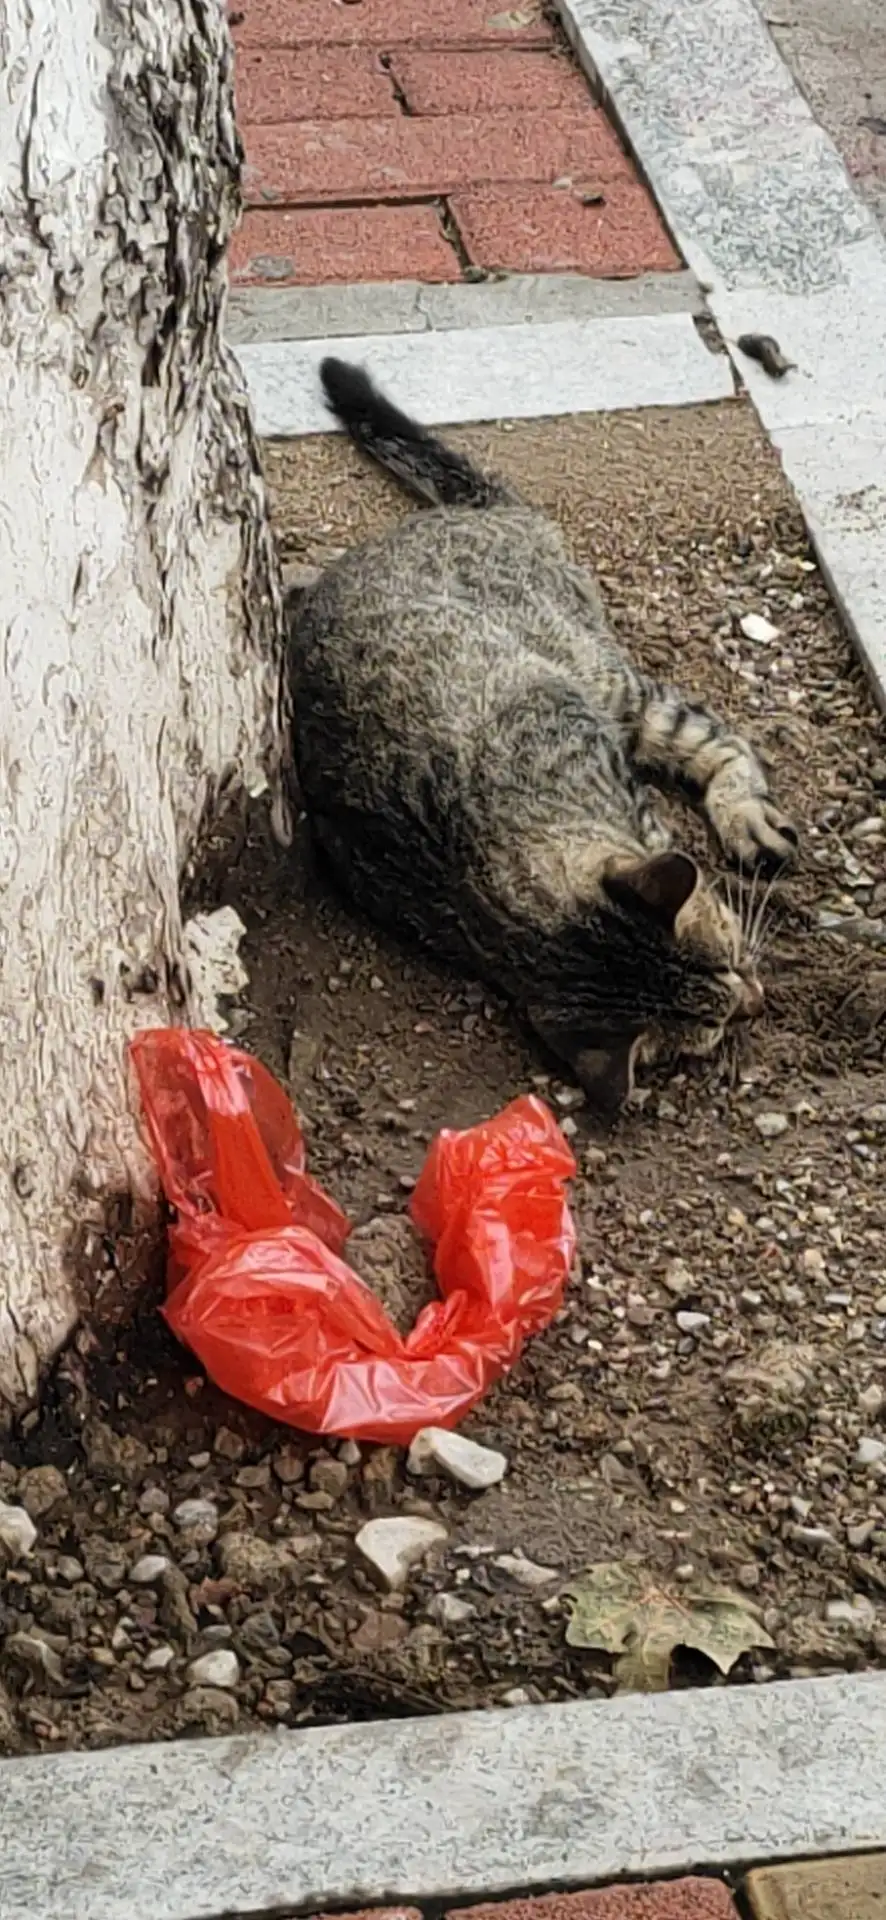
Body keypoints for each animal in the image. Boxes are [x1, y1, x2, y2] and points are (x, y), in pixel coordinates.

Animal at [286, 359, 799, 1113]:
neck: (478, 858)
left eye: (731, 958)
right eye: (714, 1022)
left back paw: (746, 816)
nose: (757, 1001)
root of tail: (474, 513)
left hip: (603, 673)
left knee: (721, 741)